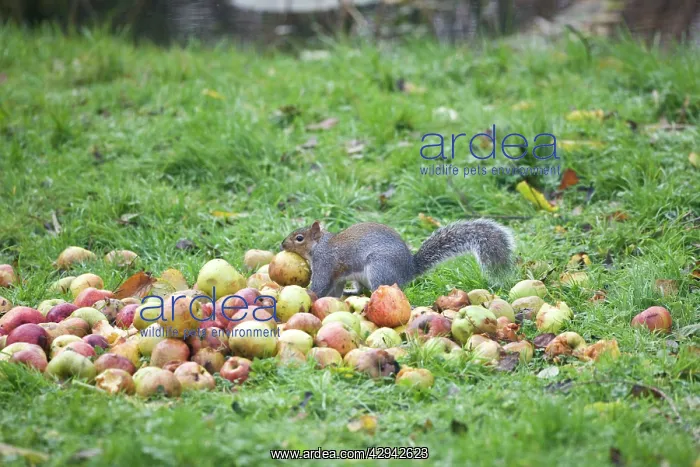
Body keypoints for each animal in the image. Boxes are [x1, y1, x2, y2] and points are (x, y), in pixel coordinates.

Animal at [281, 219, 514, 298]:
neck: (320, 245)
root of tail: (409, 270)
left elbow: (319, 286)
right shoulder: (337, 276)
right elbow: (333, 291)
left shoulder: (325, 263)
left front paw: (307, 293)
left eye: (299, 238)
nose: (282, 244)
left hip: (379, 268)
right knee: (361, 290)